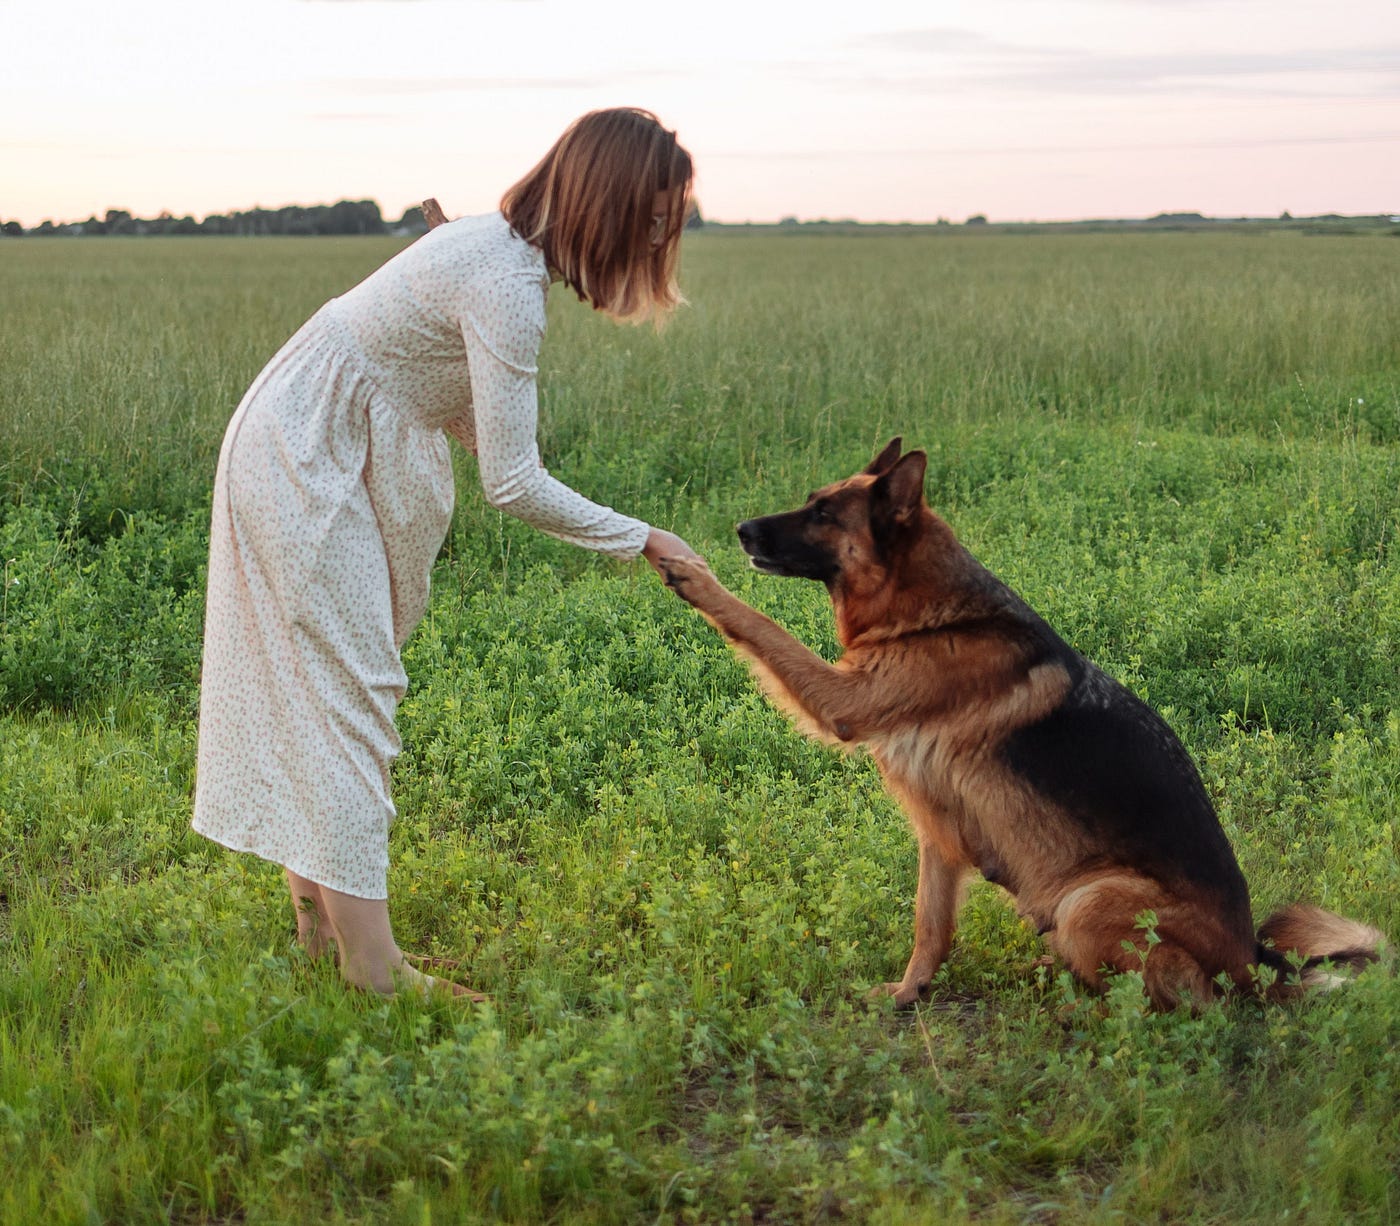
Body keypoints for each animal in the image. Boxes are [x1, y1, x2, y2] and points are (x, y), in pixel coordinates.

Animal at [660, 439, 1383, 1007]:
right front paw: (908, 993)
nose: (740, 529)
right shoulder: (939, 835)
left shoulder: (844, 701)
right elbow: (929, 927)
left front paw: (692, 574)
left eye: (822, 514)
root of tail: (1257, 967)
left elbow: (760, 626)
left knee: (1176, 1001)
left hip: (1089, 900)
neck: (930, 615)